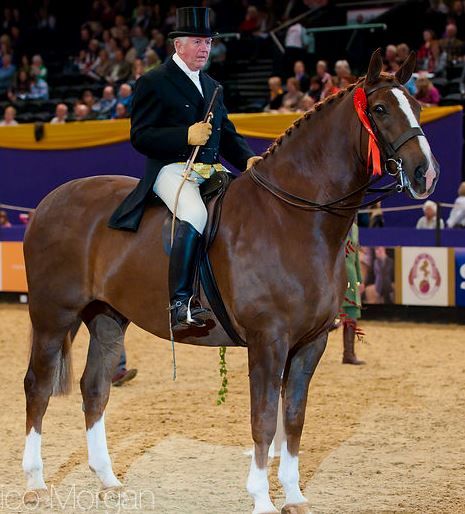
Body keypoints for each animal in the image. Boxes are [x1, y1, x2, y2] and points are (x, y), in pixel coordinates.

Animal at [21, 49, 436, 512]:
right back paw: (35, 483)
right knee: (38, 386)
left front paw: (294, 495)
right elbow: (264, 420)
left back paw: (108, 481)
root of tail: (48, 202)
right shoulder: (268, 340)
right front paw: (261, 498)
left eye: (418, 107)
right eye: (380, 109)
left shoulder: (310, 343)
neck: (291, 217)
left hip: (107, 318)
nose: (426, 174)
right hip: (53, 315)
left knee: (94, 388)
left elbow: (294, 418)